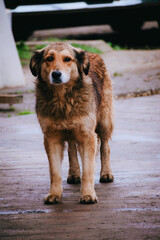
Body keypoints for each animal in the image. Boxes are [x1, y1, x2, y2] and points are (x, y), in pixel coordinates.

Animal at [29, 42, 114, 203]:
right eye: (49, 58)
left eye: (67, 59)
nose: (56, 74)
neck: (62, 100)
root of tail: (92, 53)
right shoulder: (51, 137)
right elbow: (54, 171)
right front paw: (54, 194)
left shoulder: (88, 135)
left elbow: (88, 170)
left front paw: (88, 194)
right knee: (71, 149)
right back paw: (74, 173)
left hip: (104, 122)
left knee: (105, 146)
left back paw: (106, 173)